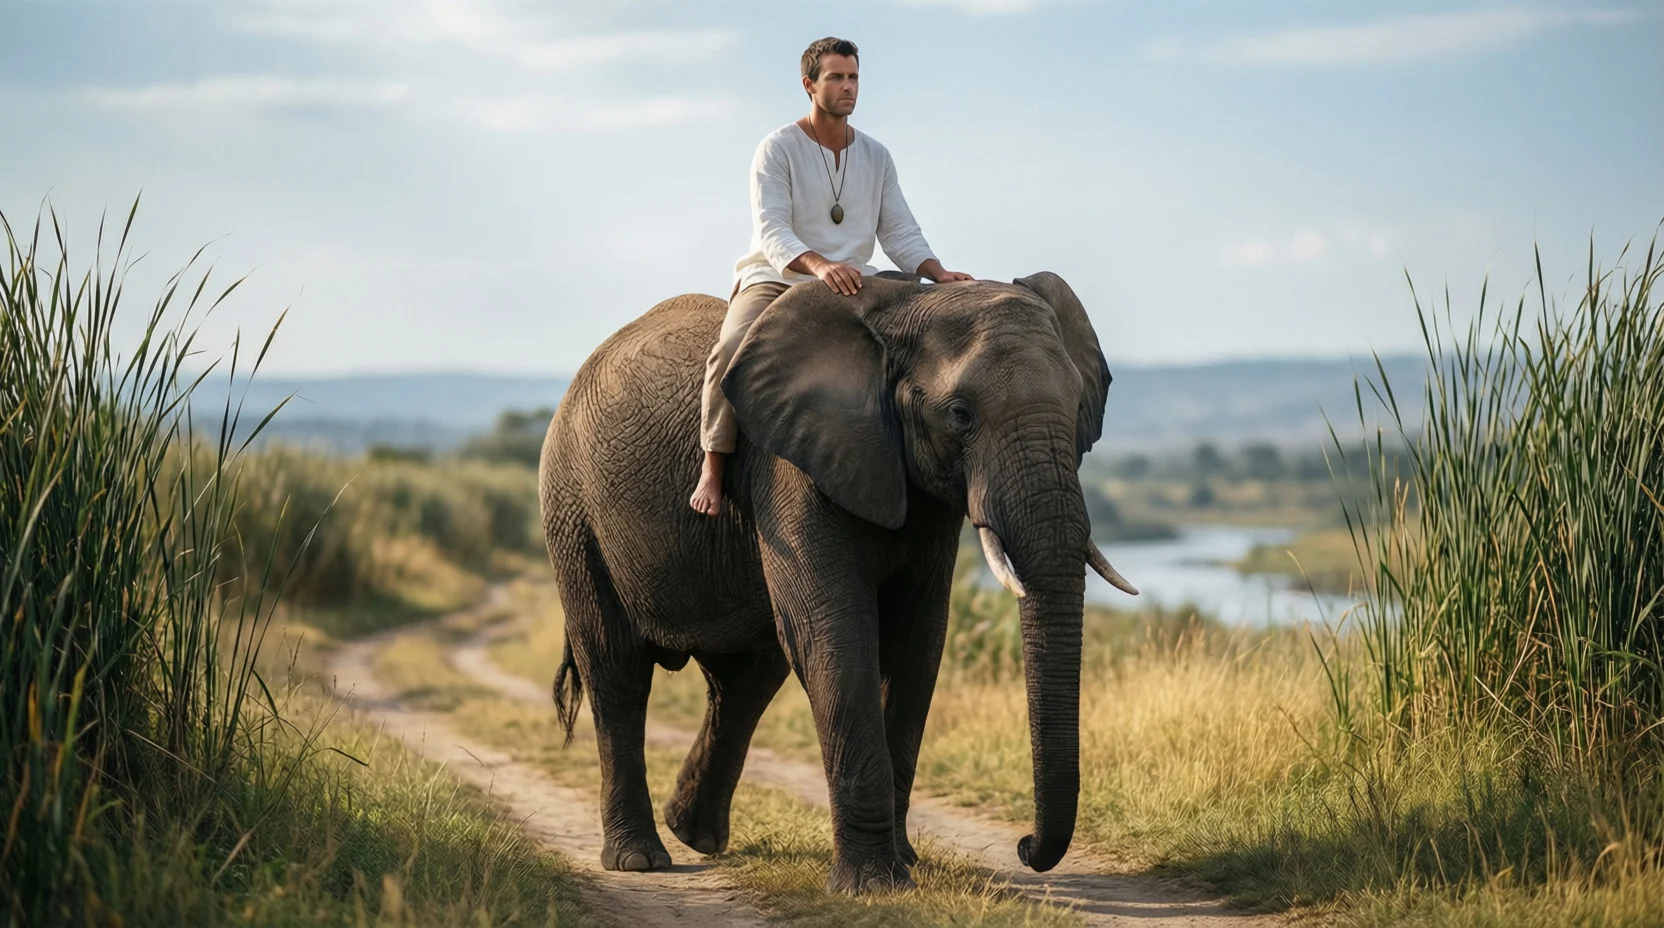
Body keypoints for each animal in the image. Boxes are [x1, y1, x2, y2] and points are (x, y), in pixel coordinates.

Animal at [537, 272, 1136, 894]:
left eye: (1080, 407)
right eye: (960, 414)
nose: (1023, 846)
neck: (902, 313)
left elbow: (917, 645)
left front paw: (904, 865)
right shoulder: (791, 466)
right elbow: (834, 636)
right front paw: (874, 886)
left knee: (746, 680)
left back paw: (696, 836)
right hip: (572, 509)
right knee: (617, 672)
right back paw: (639, 860)